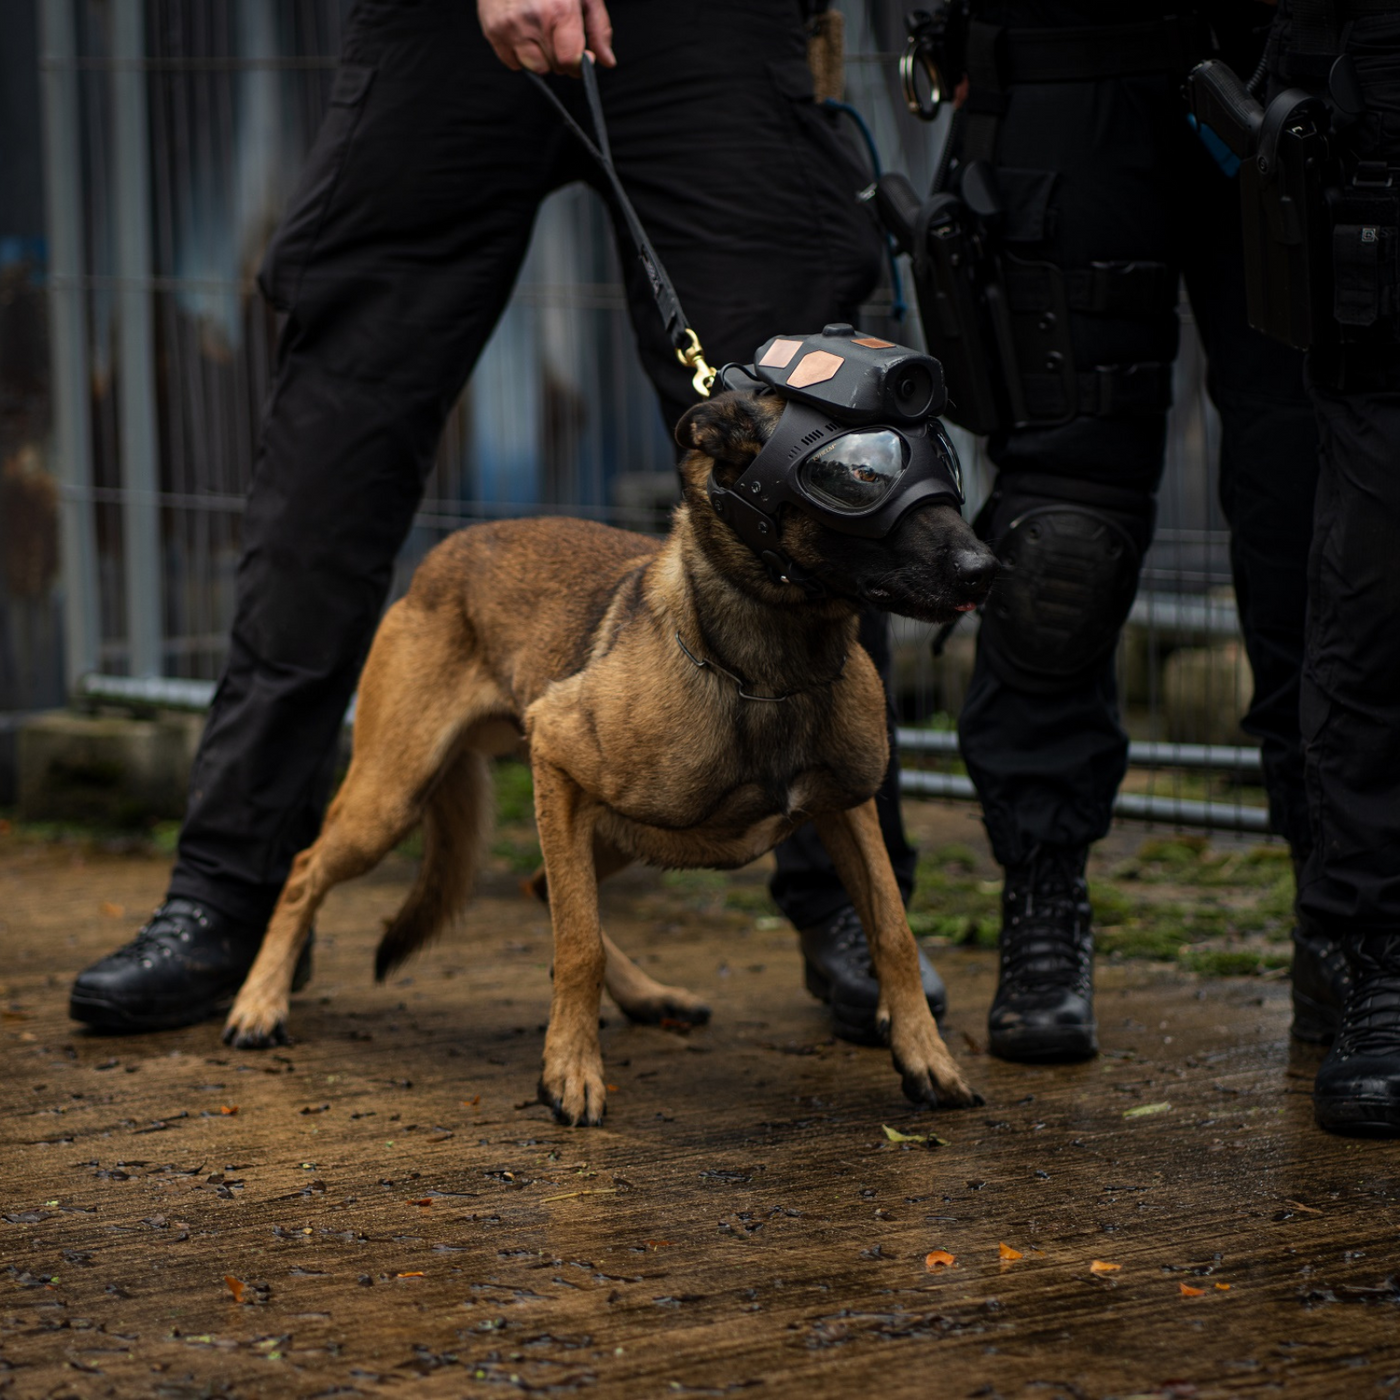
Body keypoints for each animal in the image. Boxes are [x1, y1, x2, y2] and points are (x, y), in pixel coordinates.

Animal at [224, 389, 996, 1120]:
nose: (985, 569)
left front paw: (927, 1056)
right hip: (397, 797)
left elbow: (893, 929)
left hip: (621, 832)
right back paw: (258, 1003)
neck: (771, 671)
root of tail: (446, 550)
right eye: (860, 474)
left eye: (946, 461)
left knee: (545, 885)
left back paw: (650, 996)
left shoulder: (849, 807)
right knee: (305, 870)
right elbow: (579, 944)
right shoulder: (555, 750)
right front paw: (569, 1071)